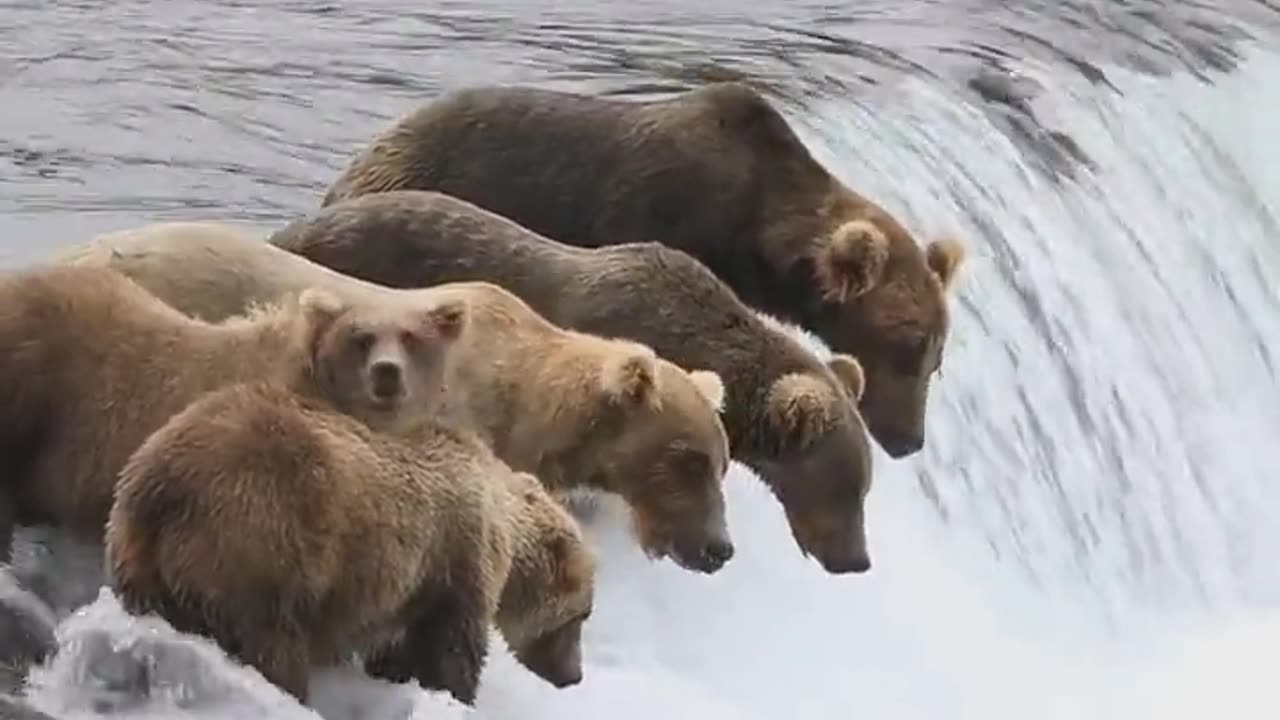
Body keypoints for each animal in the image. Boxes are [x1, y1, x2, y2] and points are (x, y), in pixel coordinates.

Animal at [105, 380, 595, 707]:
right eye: (580, 616)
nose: (575, 676)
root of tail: (157, 482)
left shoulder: (411, 588)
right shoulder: (457, 558)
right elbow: (452, 649)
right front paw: (455, 693)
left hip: (139, 551)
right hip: (262, 533)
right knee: (275, 643)